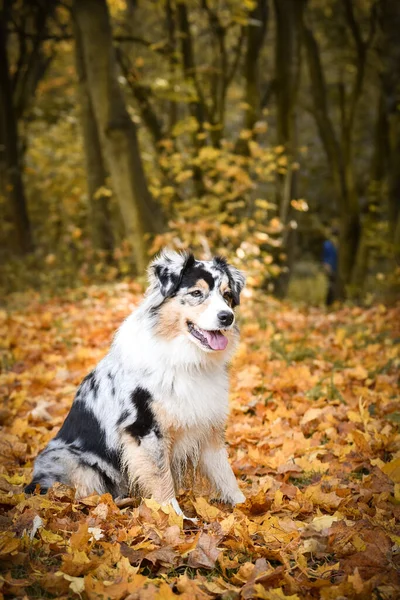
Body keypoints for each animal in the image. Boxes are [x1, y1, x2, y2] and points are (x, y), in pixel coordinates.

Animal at [25, 248, 245, 516]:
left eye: (227, 295)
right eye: (196, 293)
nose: (227, 317)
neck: (185, 359)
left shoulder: (208, 425)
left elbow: (226, 474)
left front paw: (247, 507)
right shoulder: (144, 428)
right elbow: (162, 481)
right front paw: (176, 519)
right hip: (77, 464)